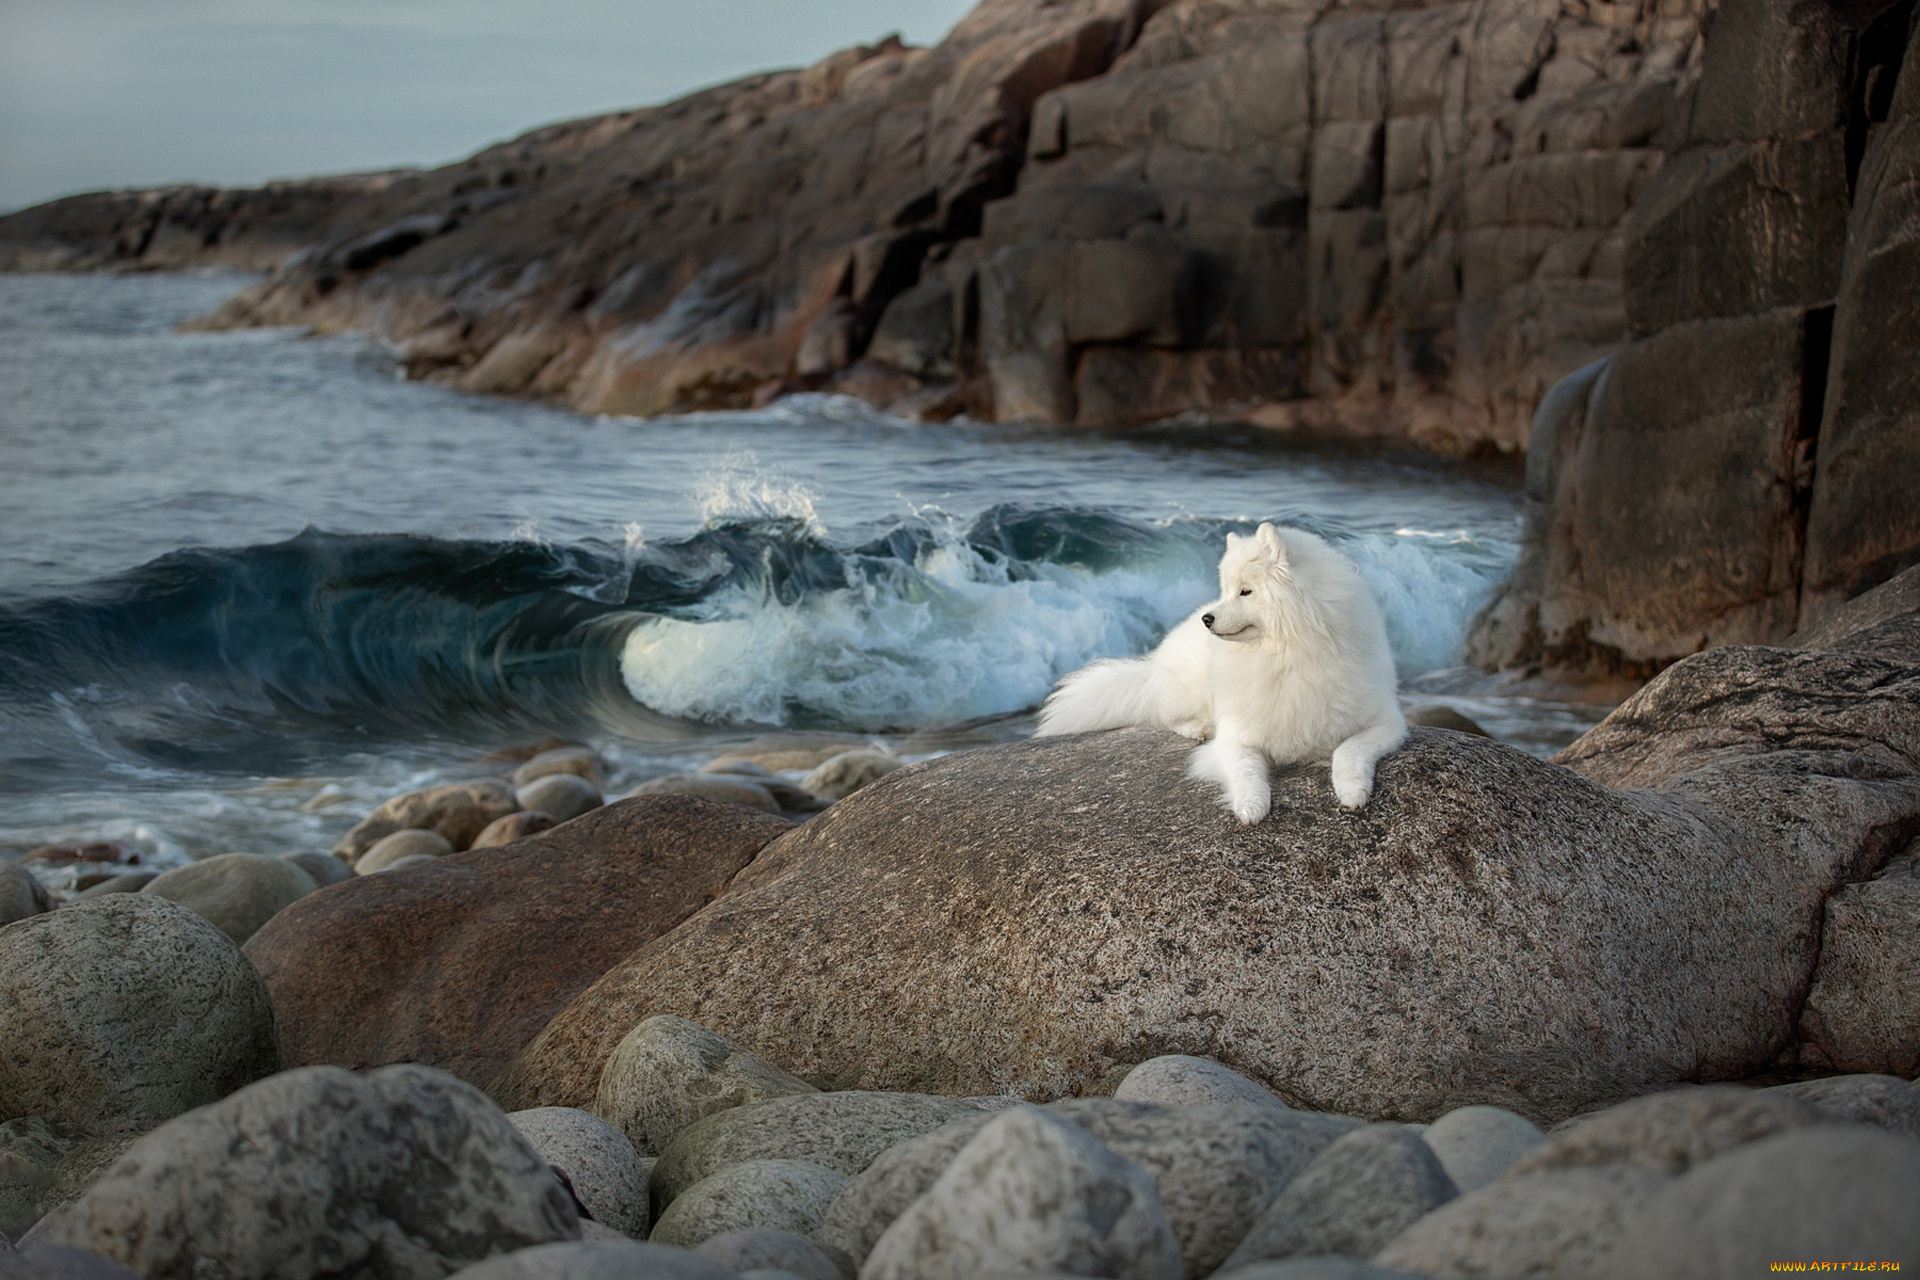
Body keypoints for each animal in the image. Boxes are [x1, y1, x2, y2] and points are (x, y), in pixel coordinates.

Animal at [1036, 521, 1413, 821]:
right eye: (1226, 590)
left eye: (1245, 591)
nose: (1208, 618)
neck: (1286, 657)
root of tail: (1154, 664)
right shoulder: (1237, 735)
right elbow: (1246, 771)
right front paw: (1251, 805)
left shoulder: (1385, 722)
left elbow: (1348, 751)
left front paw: (1352, 790)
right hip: (1190, 688)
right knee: (1166, 713)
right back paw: (1196, 728)